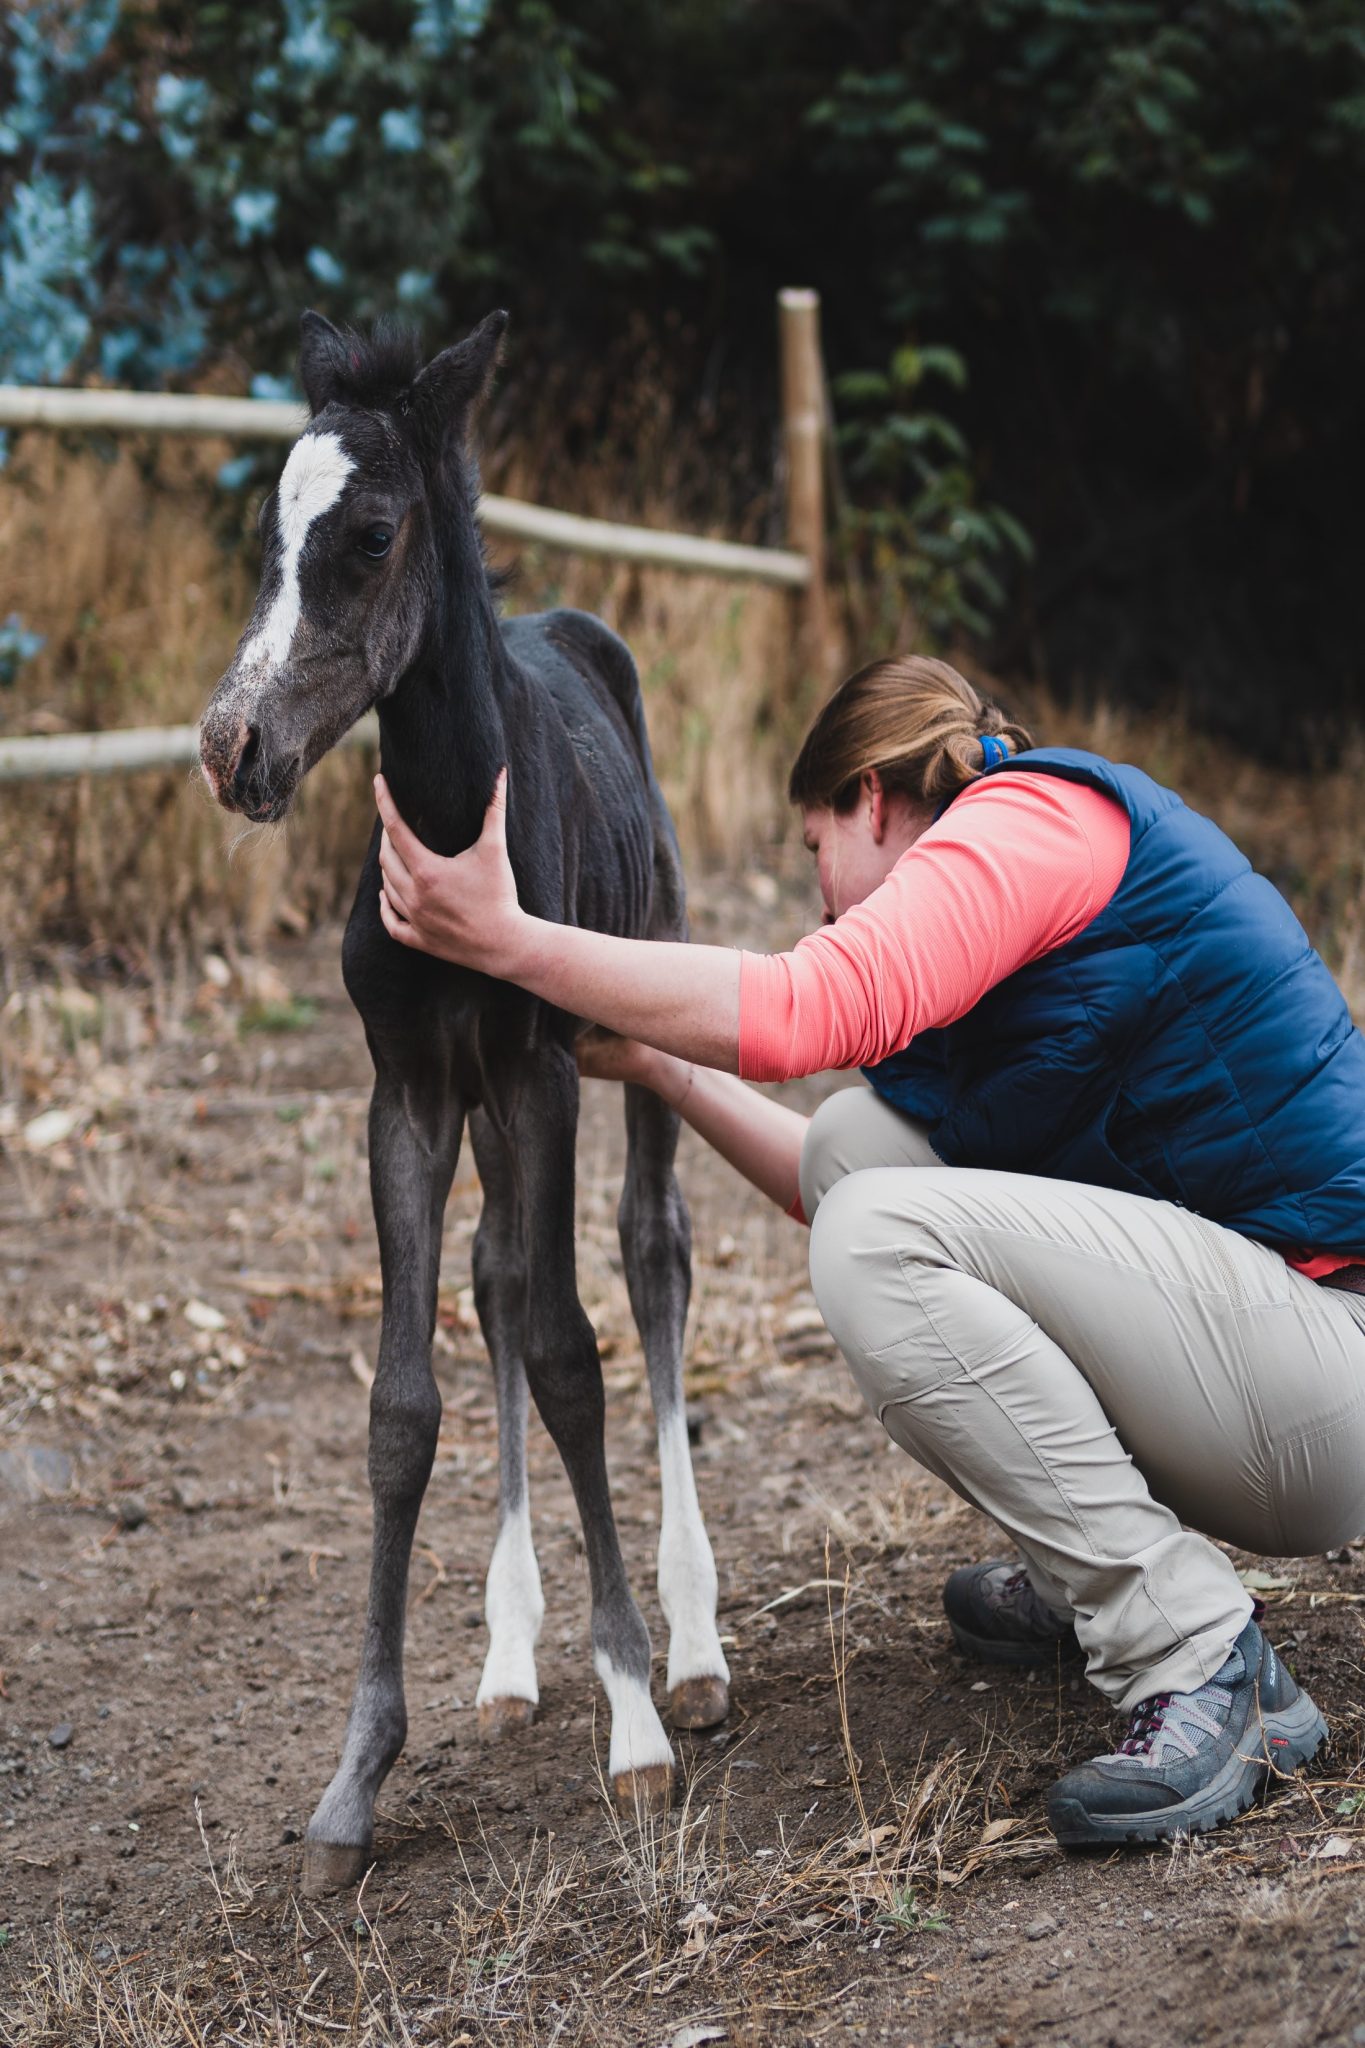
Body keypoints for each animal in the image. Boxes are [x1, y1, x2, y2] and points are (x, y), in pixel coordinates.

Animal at [198, 309, 729, 1895]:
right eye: (267, 536)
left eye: (372, 534)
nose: (231, 748)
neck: (445, 829)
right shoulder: (413, 1091)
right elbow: (403, 1403)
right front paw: (353, 1784)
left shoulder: (544, 1070)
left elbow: (570, 1353)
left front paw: (634, 1724)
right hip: (492, 1107)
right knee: (497, 1277)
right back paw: (505, 1659)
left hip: (638, 1030)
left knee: (650, 1254)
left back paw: (694, 1649)